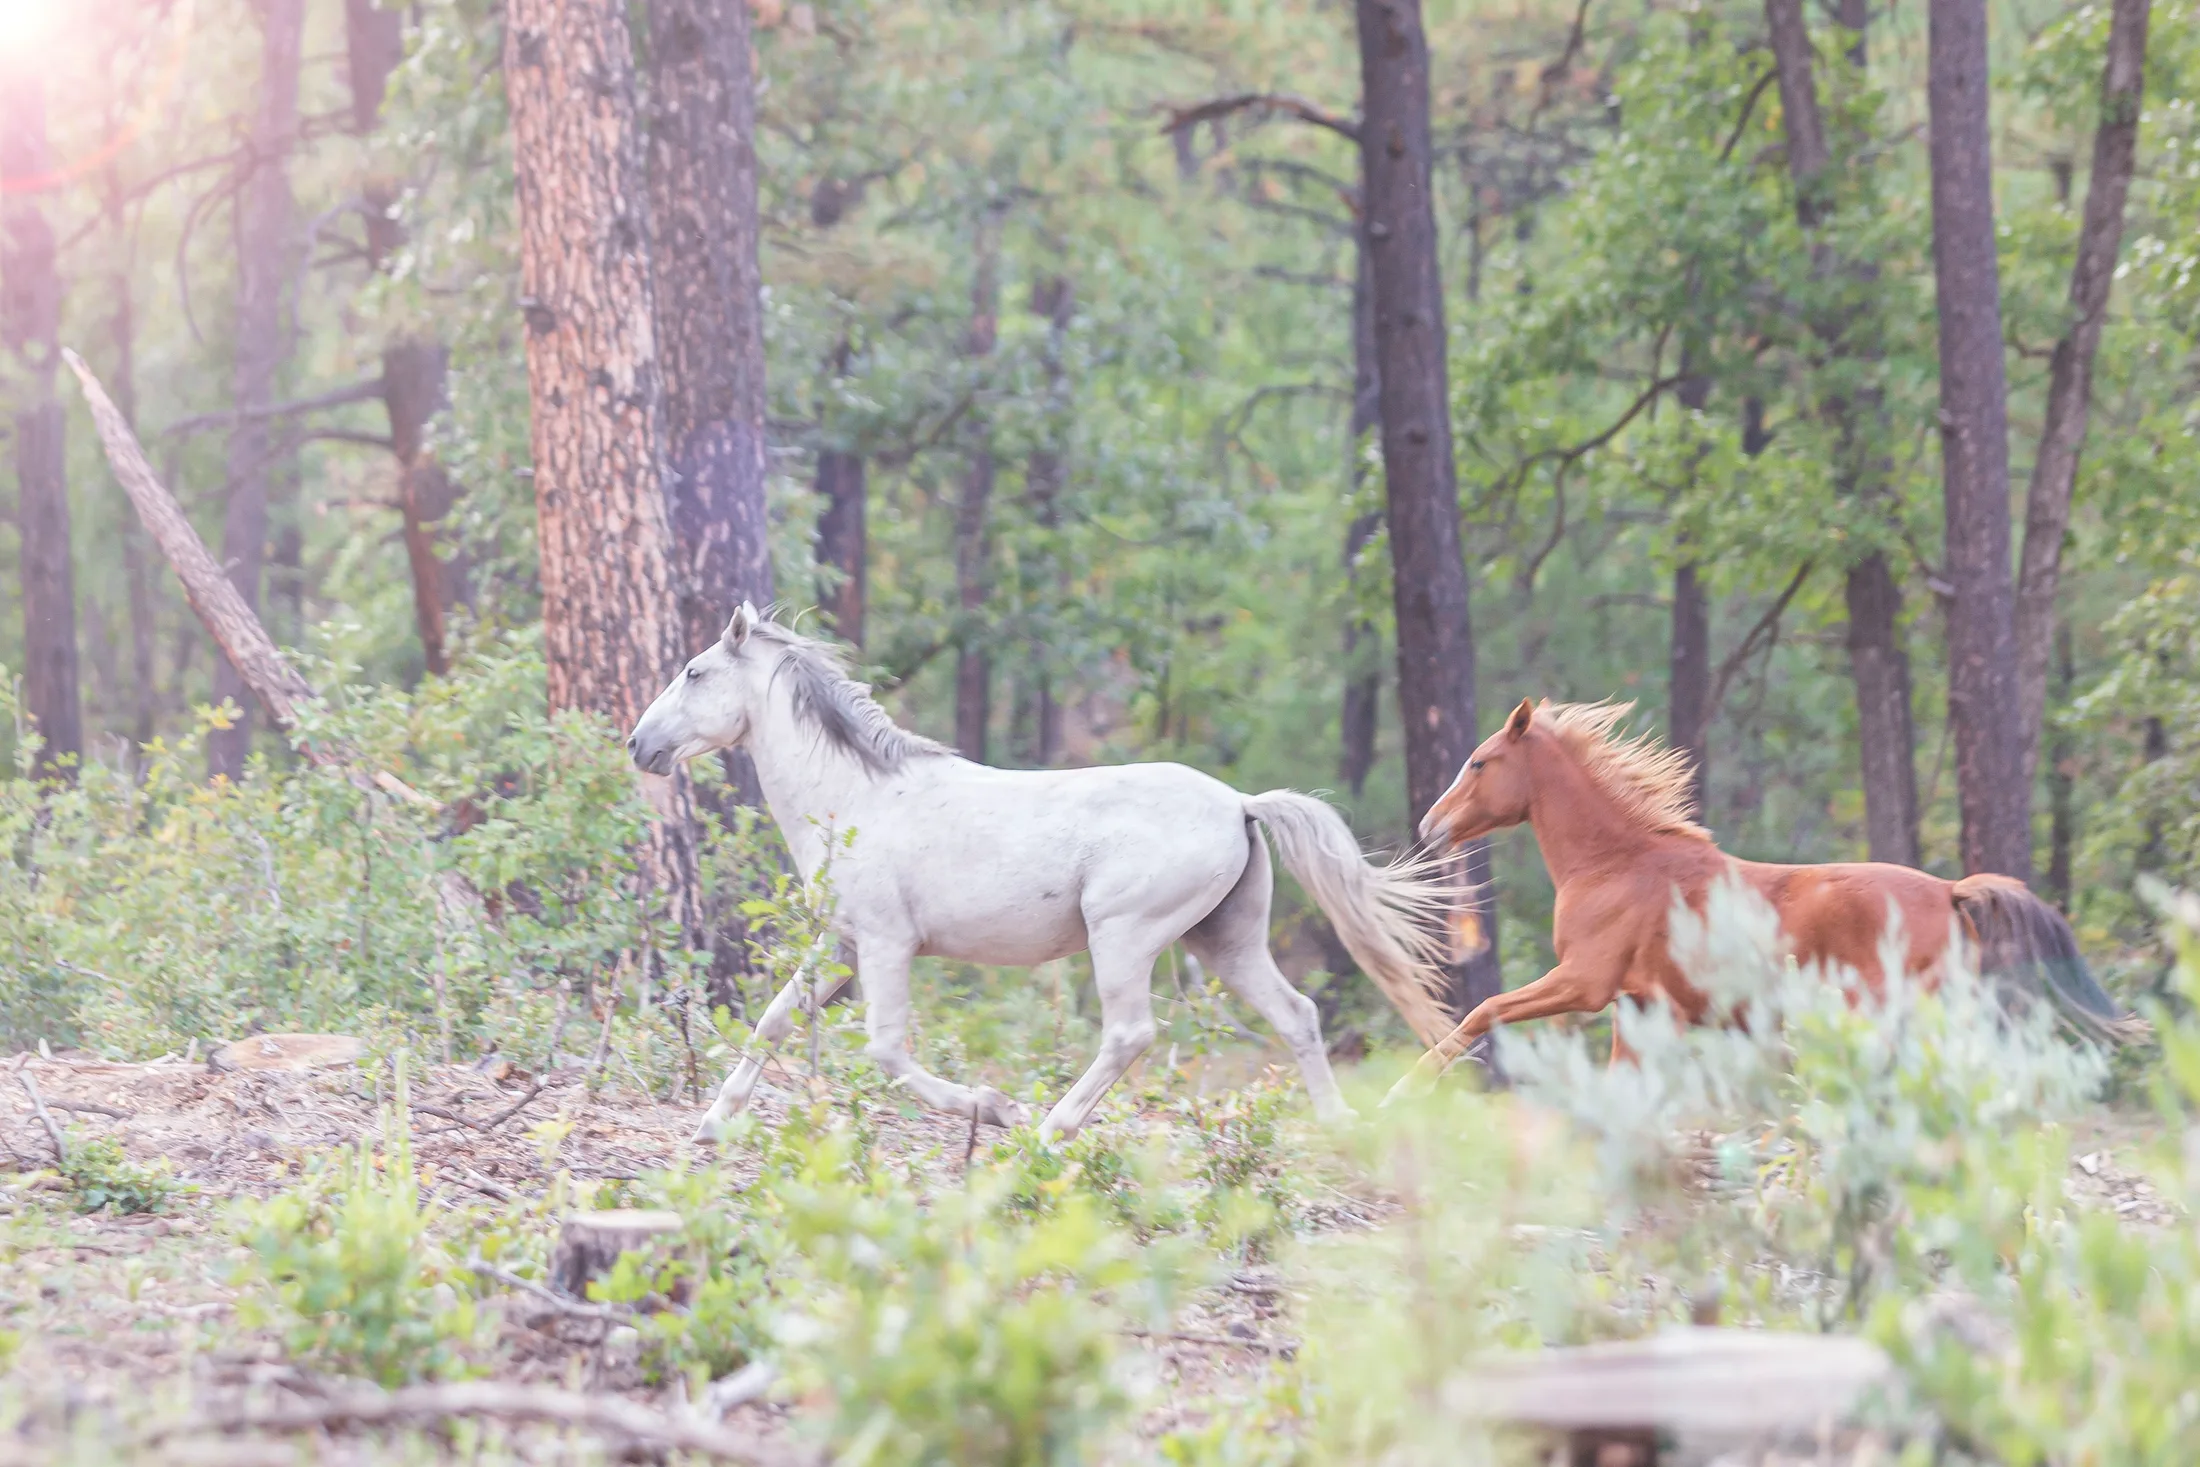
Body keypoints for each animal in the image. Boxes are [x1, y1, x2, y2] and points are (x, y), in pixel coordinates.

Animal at [627, 603, 1461, 1141]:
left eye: (694, 671)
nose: (639, 743)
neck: (855, 799)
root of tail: (1239, 804)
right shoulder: (839, 944)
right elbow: (771, 1019)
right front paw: (712, 1123)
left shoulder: (887, 945)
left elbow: (886, 1050)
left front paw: (995, 1106)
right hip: (1226, 942)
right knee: (1297, 1014)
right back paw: (1337, 1125)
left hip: (1123, 937)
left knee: (1130, 1033)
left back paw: (1049, 1125)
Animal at [1396, 697, 2144, 1088]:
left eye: (1479, 762)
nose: (1429, 826)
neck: (1616, 864)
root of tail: (1952, 891)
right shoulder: (1639, 1006)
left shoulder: (1583, 981)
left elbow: (1484, 1009)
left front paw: (1406, 1084)